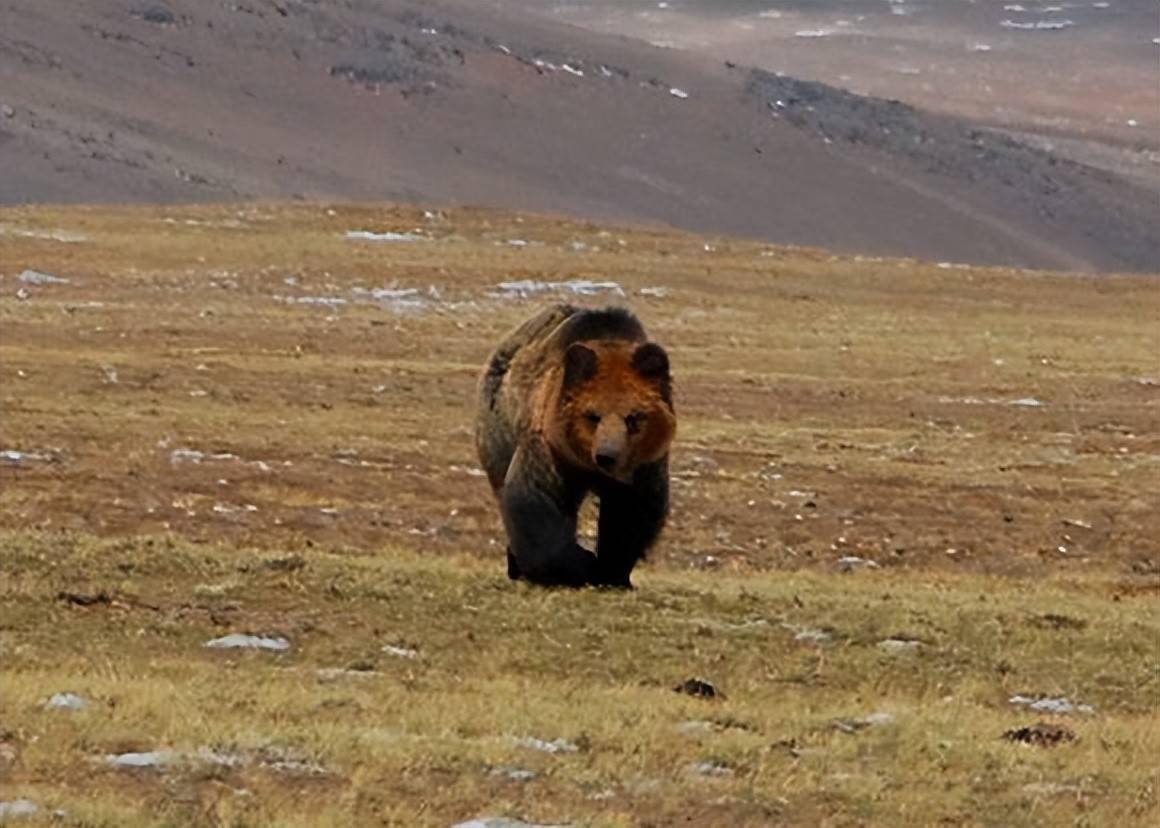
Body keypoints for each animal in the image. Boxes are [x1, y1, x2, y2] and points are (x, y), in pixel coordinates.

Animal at [473, 303, 677, 586]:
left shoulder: (643, 464)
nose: (607, 455)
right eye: (592, 415)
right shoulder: (550, 450)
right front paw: (580, 563)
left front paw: (612, 572)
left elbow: (629, 511)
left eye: (634, 417)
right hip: (500, 429)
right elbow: (535, 499)